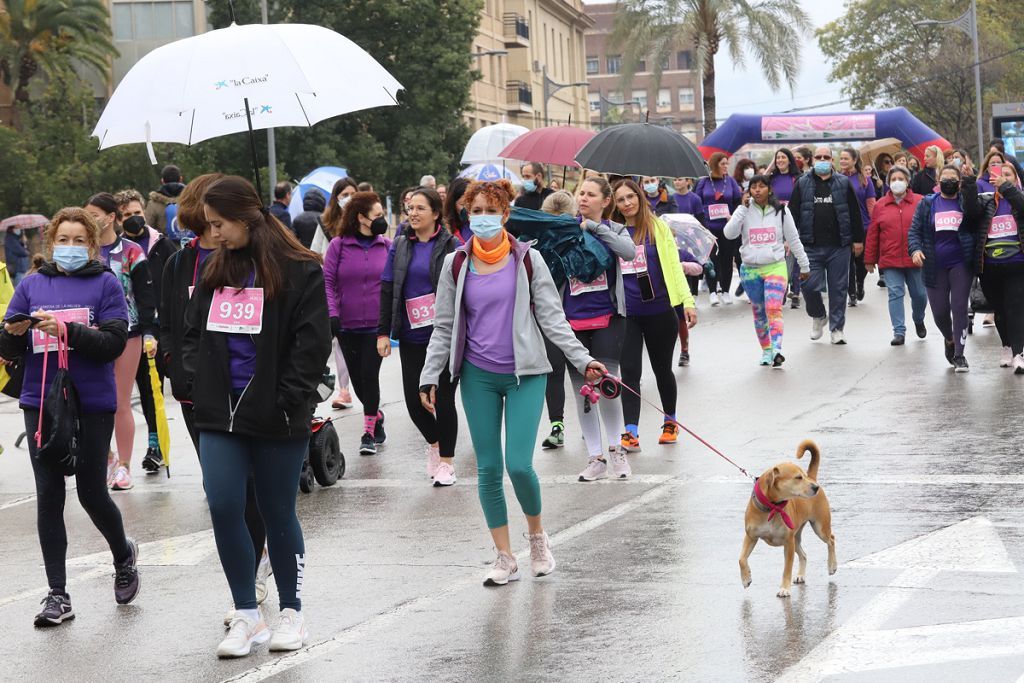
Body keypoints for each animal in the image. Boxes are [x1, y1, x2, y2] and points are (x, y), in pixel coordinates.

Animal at [741, 440, 835, 593]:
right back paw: (801, 575)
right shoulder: (751, 537)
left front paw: (785, 589)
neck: (772, 507)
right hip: (796, 537)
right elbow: (741, 558)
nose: (815, 488)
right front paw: (745, 578)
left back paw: (832, 565)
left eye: (802, 476)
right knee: (804, 555)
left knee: (831, 540)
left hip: (820, 527)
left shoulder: (788, 543)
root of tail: (813, 477)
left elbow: (787, 569)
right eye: (798, 477)